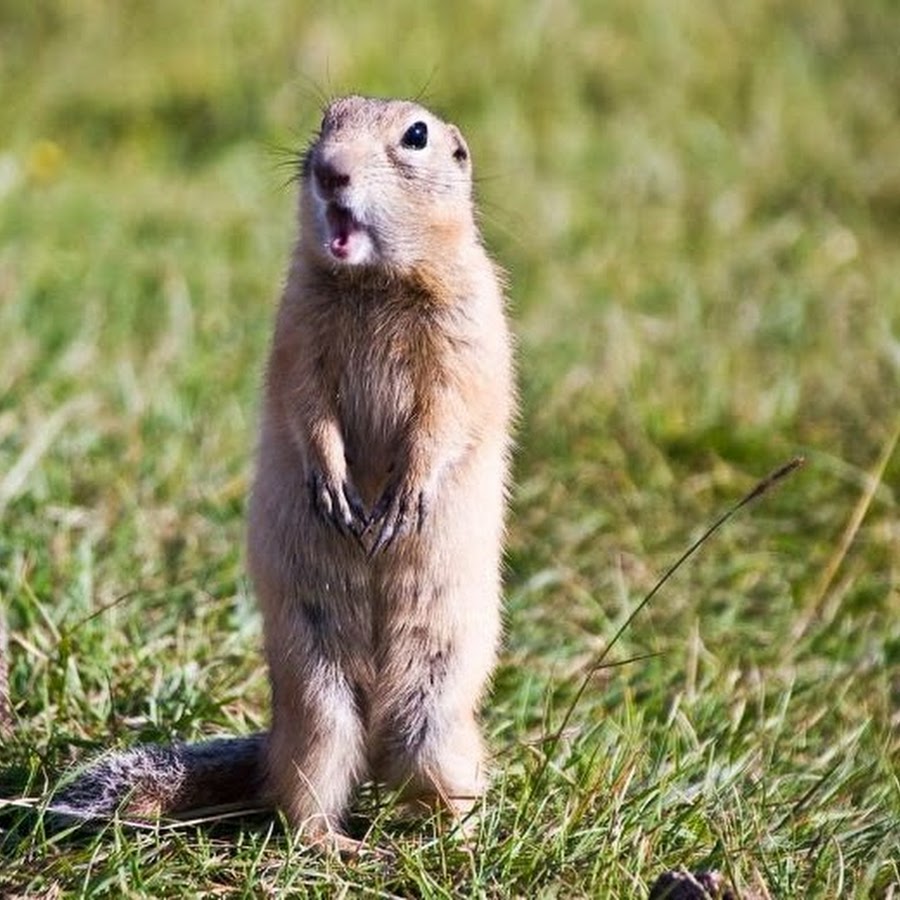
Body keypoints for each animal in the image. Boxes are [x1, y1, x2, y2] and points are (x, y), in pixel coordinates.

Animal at [51, 98, 512, 852]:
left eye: (416, 135)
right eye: (328, 119)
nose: (330, 170)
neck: (372, 283)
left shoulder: (469, 329)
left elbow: (446, 413)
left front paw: (400, 501)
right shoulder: (295, 330)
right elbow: (305, 403)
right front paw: (336, 492)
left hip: (437, 717)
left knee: (444, 785)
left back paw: (461, 839)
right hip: (318, 703)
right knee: (302, 800)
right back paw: (341, 846)